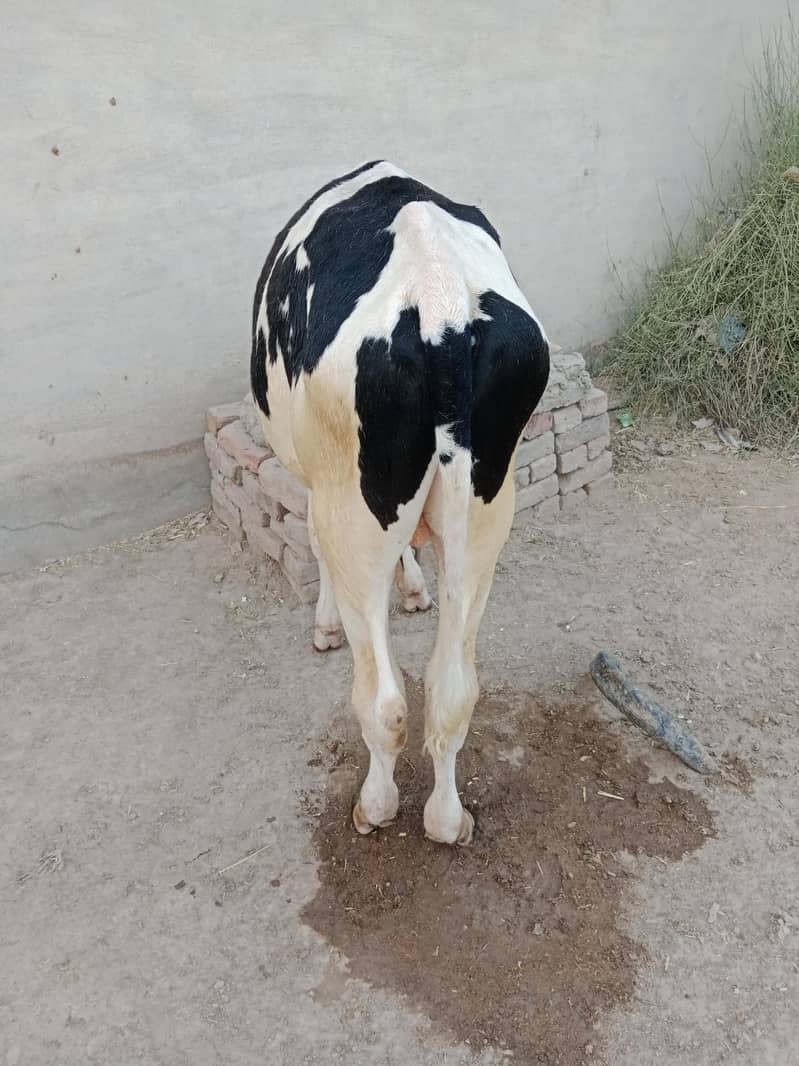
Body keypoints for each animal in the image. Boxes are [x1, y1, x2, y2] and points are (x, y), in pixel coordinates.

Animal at [250, 161, 549, 845]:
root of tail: (439, 300)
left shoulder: (319, 481)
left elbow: (312, 541)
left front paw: (327, 626)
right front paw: (414, 588)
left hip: (354, 509)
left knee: (384, 702)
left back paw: (377, 806)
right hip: (485, 514)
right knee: (452, 691)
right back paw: (447, 820)